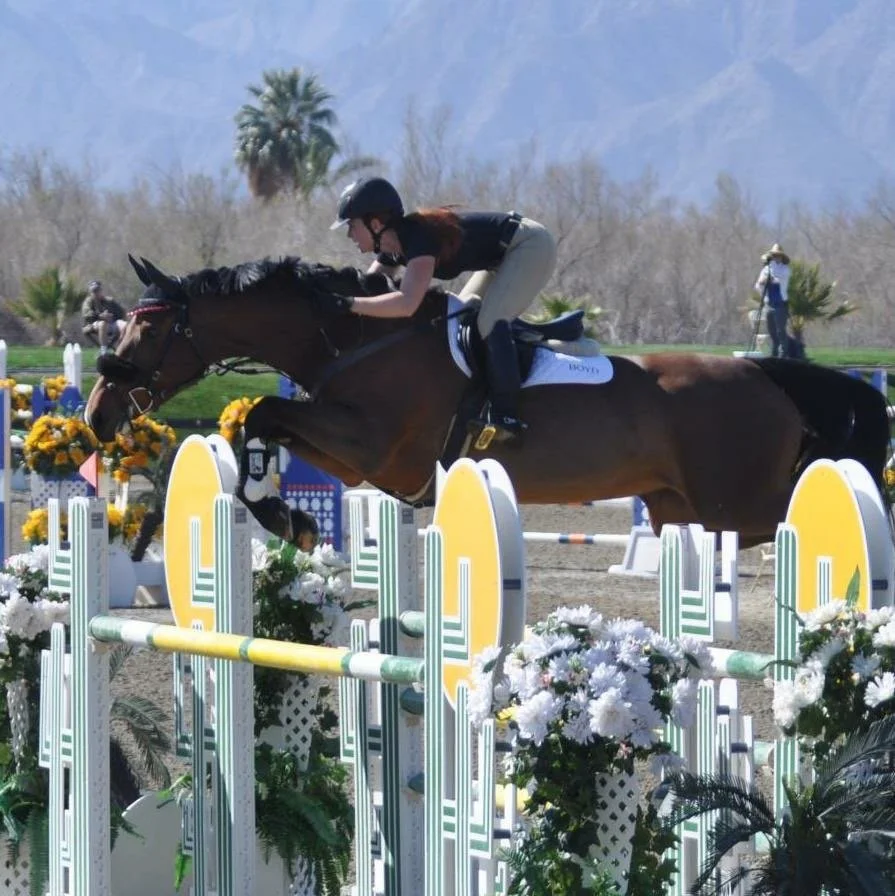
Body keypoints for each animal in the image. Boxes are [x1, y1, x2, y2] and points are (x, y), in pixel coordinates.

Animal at [85, 254, 891, 550]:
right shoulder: (363, 460)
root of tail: (766, 377)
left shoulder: (377, 446)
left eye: (146, 328)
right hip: (679, 509)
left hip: (738, 505)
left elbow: (260, 411)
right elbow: (261, 421)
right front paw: (286, 514)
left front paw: (285, 517)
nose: (97, 413)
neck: (353, 336)